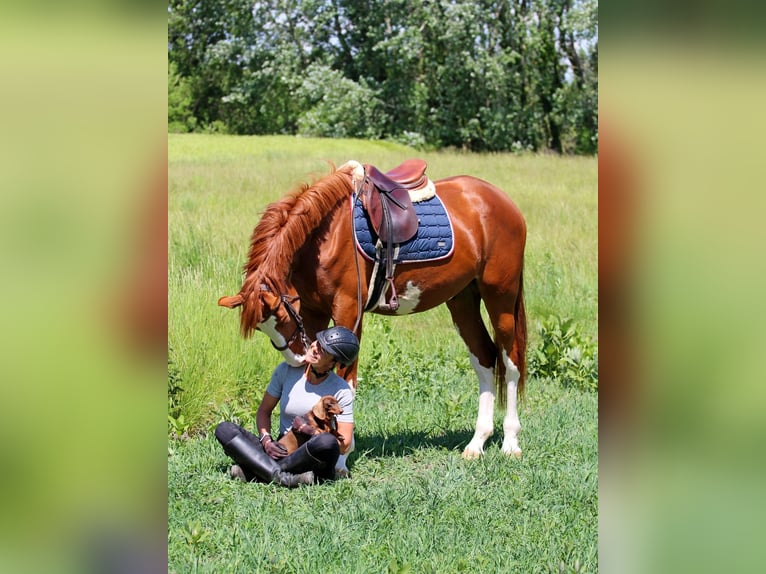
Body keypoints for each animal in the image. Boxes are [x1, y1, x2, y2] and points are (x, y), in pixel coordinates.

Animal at [218, 160, 527, 463]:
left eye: (281, 317)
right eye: (261, 328)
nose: (295, 358)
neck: (326, 235)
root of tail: (503, 201)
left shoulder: (348, 312)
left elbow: (346, 380)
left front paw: (343, 454)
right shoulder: (314, 312)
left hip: (500, 297)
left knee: (510, 361)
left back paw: (510, 442)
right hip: (462, 299)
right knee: (485, 358)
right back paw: (478, 442)